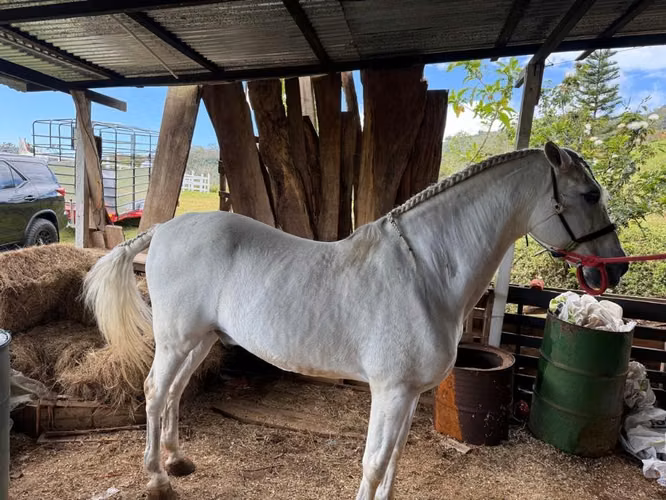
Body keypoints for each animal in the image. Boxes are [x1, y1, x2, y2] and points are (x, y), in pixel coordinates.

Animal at [83, 141, 628, 499]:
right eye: (589, 194)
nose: (617, 268)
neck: (425, 273)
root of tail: (163, 229)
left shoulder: (408, 394)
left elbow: (393, 463)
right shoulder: (389, 391)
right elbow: (374, 464)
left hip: (200, 340)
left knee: (174, 393)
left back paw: (177, 460)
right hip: (176, 339)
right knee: (156, 391)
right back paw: (157, 479)